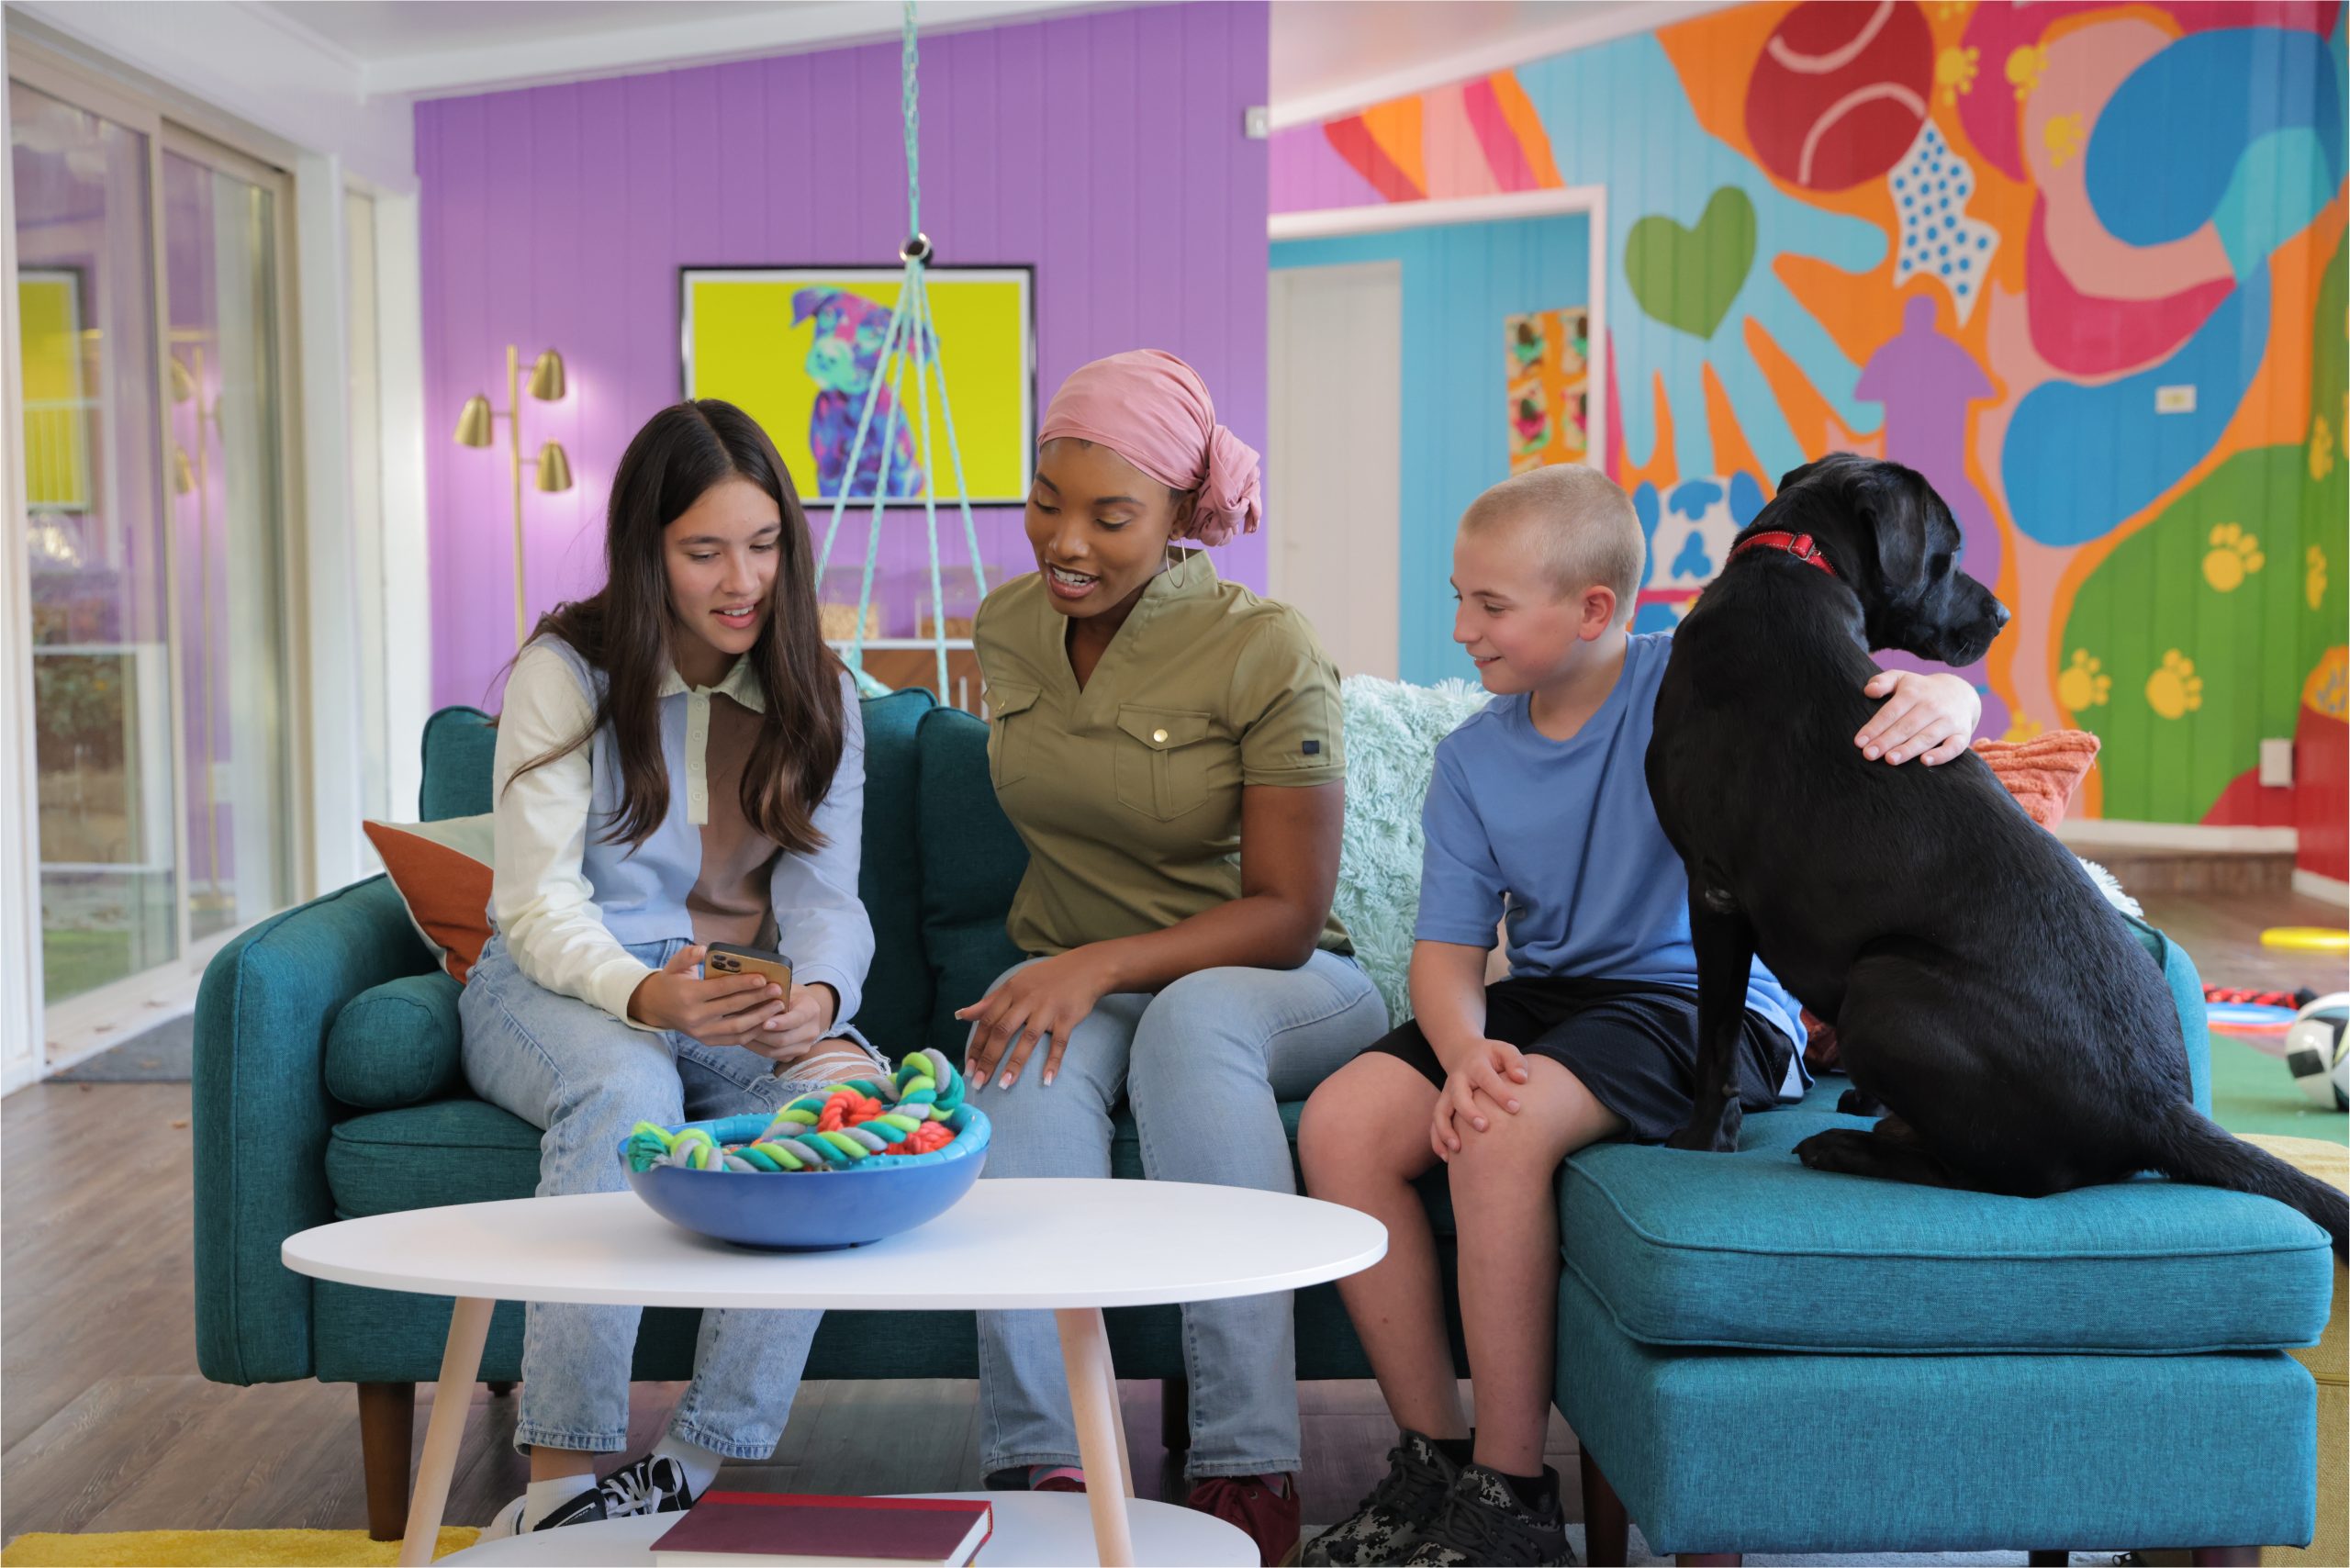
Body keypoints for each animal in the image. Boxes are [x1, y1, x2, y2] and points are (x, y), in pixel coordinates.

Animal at [1654, 446, 2350, 1260]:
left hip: (1881, 984)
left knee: (1998, 1178)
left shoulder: (1713, 891)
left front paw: (1701, 1138)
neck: (1799, 560)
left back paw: (1846, 1146)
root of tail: (2159, 1109)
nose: (2003, 616)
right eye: (1949, 553)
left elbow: (1717, 1037)